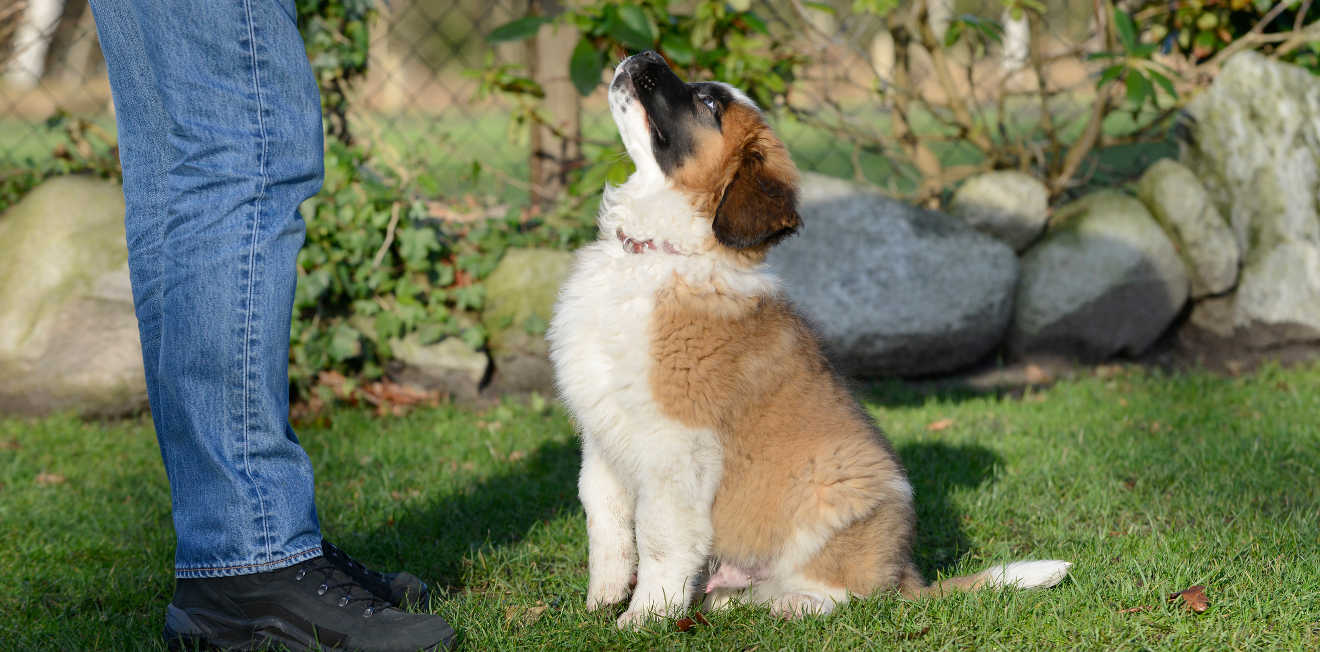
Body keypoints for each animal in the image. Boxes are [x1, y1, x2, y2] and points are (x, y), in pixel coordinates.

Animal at [546, 48, 1071, 628]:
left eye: (708, 103)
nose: (644, 55)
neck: (653, 254)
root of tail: (907, 576)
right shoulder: (602, 437)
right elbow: (606, 523)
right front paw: (604, 599)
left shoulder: (676, 446)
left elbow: (659, 537)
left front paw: (644, 619)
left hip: (838, 482)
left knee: (852, 596)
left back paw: (794, 603)